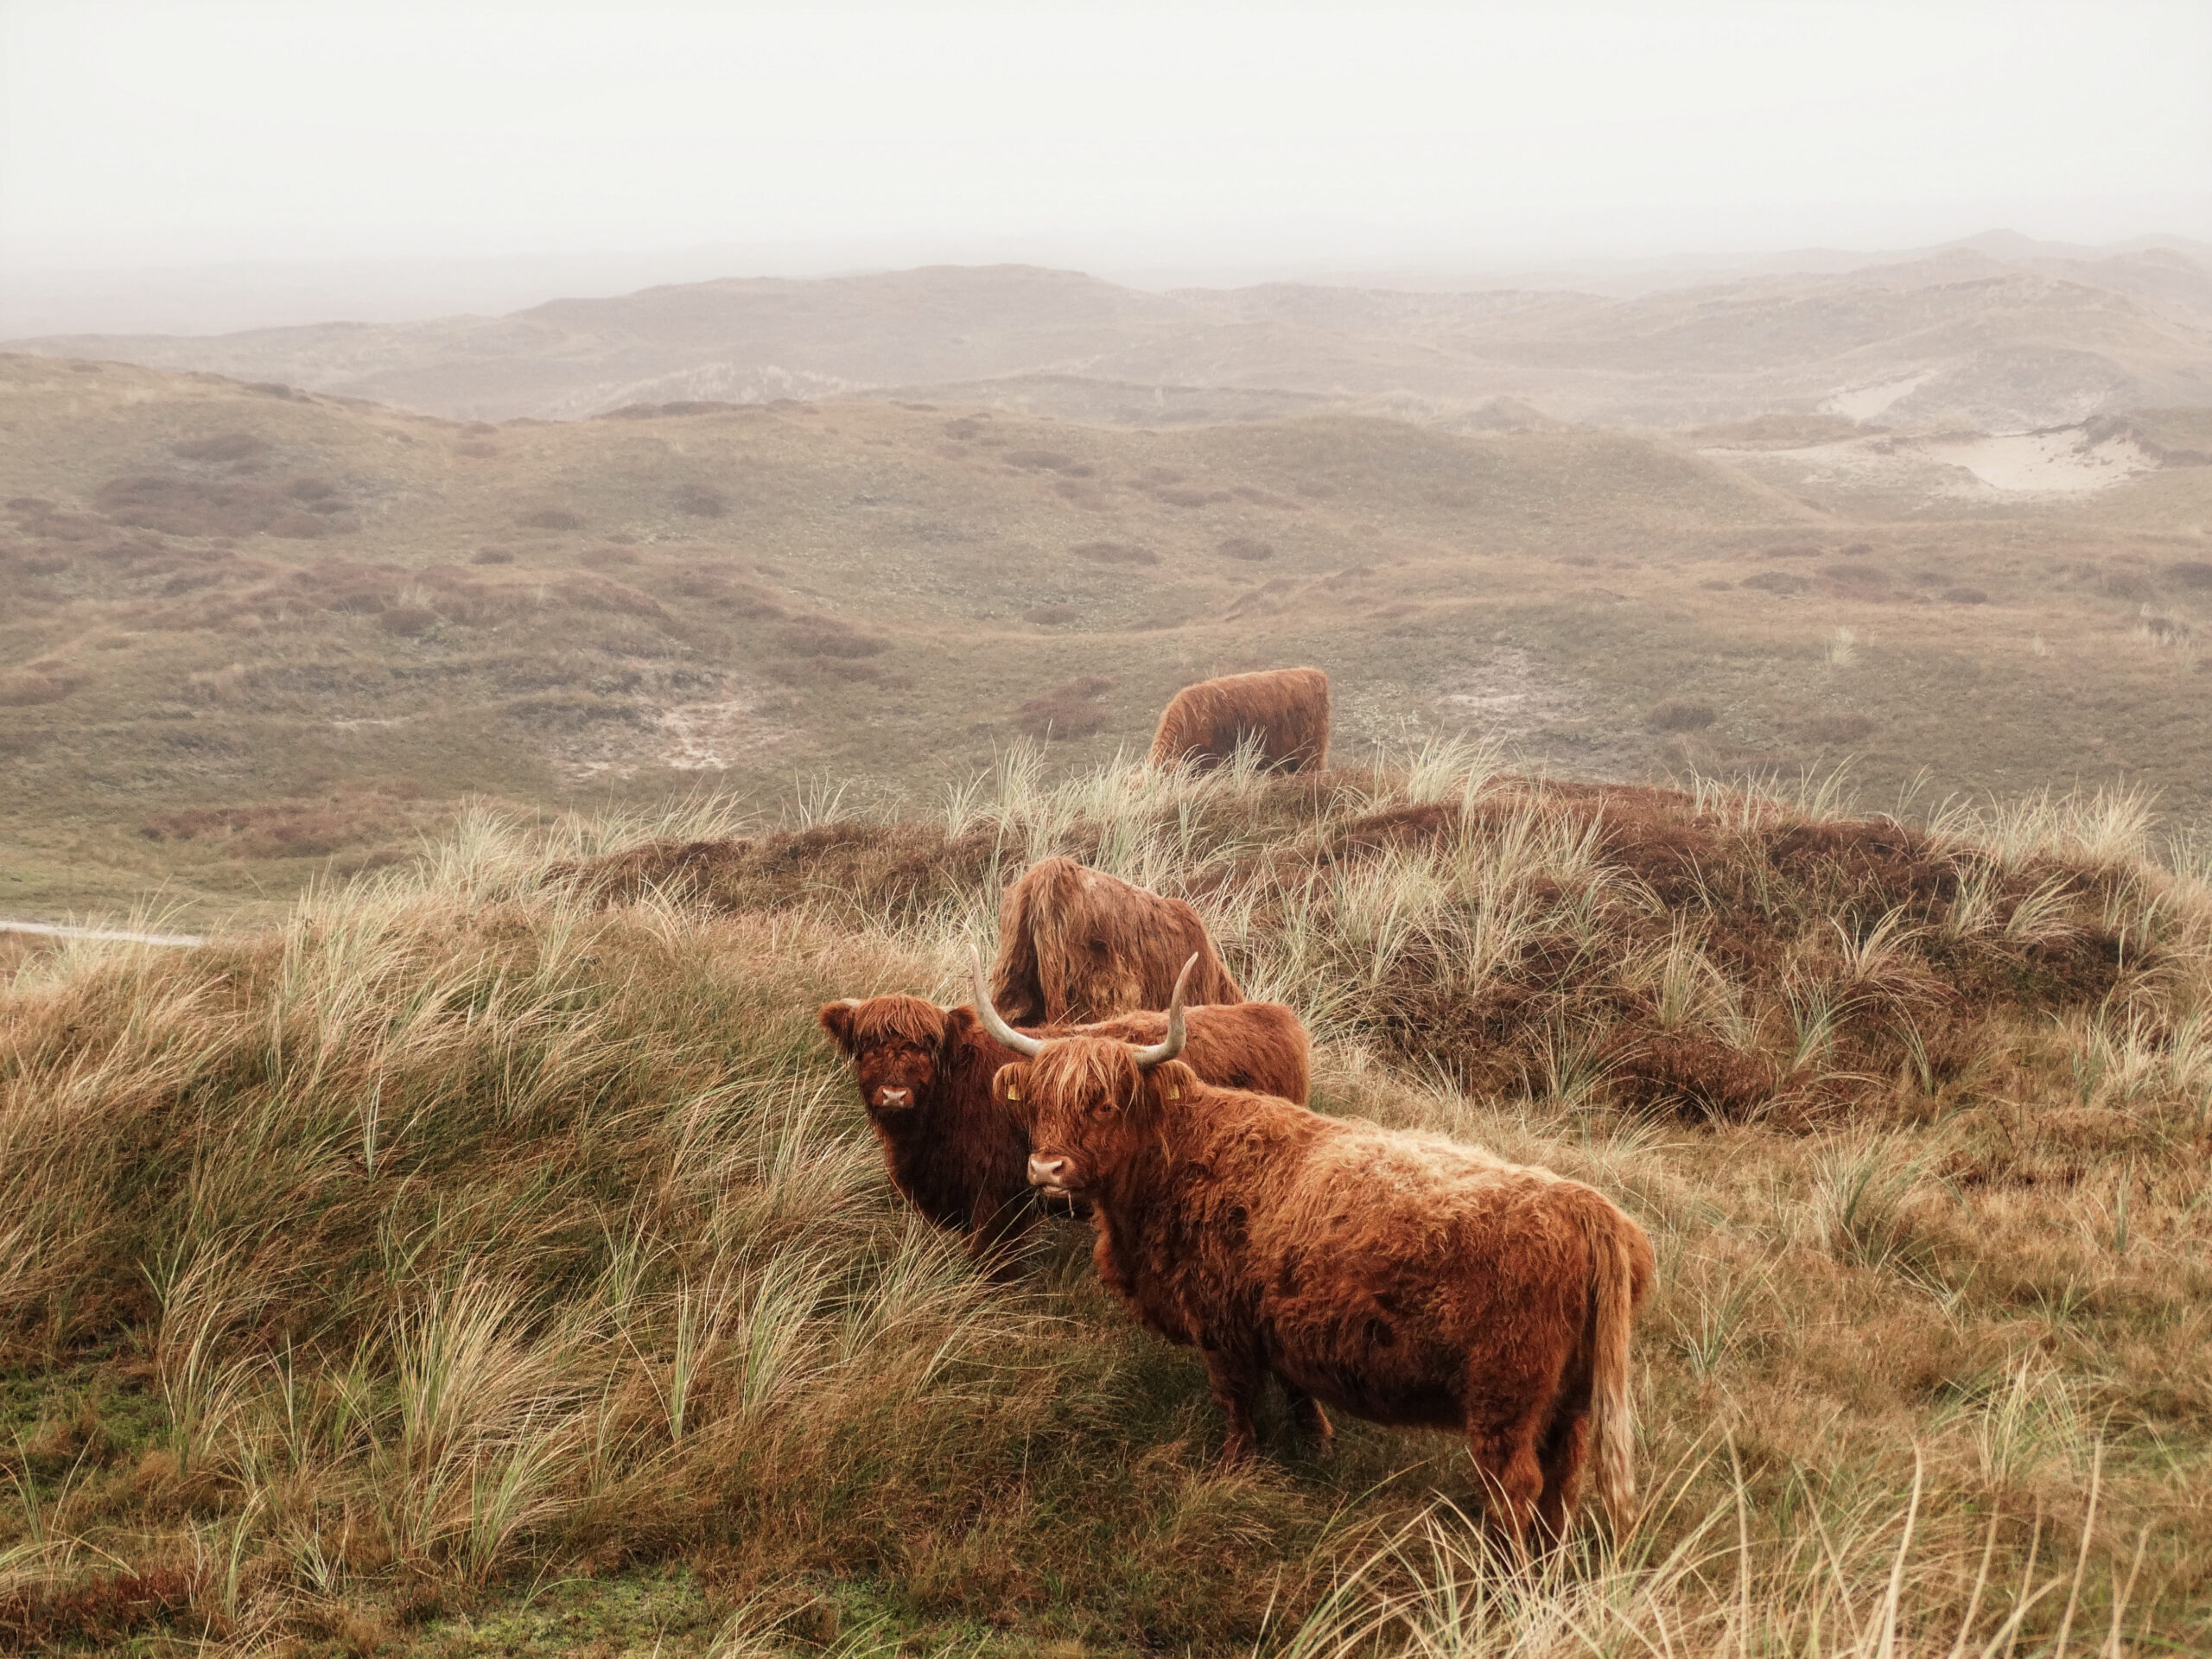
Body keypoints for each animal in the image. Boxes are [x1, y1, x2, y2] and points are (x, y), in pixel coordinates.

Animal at [977, 955, 1654, 1557]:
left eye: (1105, 1102)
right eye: (1036, 1102)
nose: (1046, 1168)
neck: (1172, 1162)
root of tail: (1590, 1210)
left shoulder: (1222, 1327)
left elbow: (1237, 1405)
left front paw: (1235, 1470)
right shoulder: (1282, 1322)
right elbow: (1297, 1388)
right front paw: (1318, 1443)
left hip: (1505, 1400)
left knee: (1516, 1487)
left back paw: (1502, 1577)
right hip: (1571, 1406)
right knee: (1563, 1482)